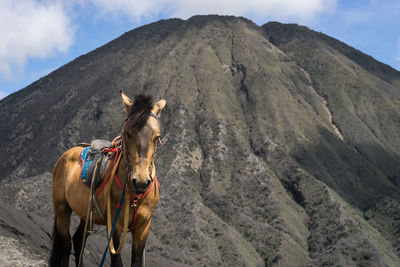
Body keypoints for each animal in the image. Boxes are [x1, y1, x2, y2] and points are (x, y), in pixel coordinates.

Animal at [49, 92, 166, 267]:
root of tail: (66, 154)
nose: (140, 181)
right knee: (66, 244)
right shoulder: (115, 226)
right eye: (128, 134)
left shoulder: (143, 227)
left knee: (78, 240)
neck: (134, 195)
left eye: (156, 137)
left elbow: (137, 261)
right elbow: (116, 262)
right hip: (62, 208)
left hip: (87, 214)